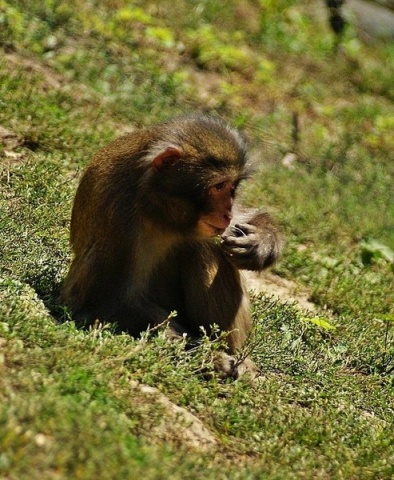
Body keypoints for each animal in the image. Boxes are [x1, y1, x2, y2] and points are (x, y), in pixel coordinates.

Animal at [61, 113, 282, 378]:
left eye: (232, 188)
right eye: (218, 186)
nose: (227, 212)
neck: (158, 208)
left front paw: (262, 243)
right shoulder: (118, 213)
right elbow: (108, 300)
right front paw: (209, 357)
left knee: (204, 247)